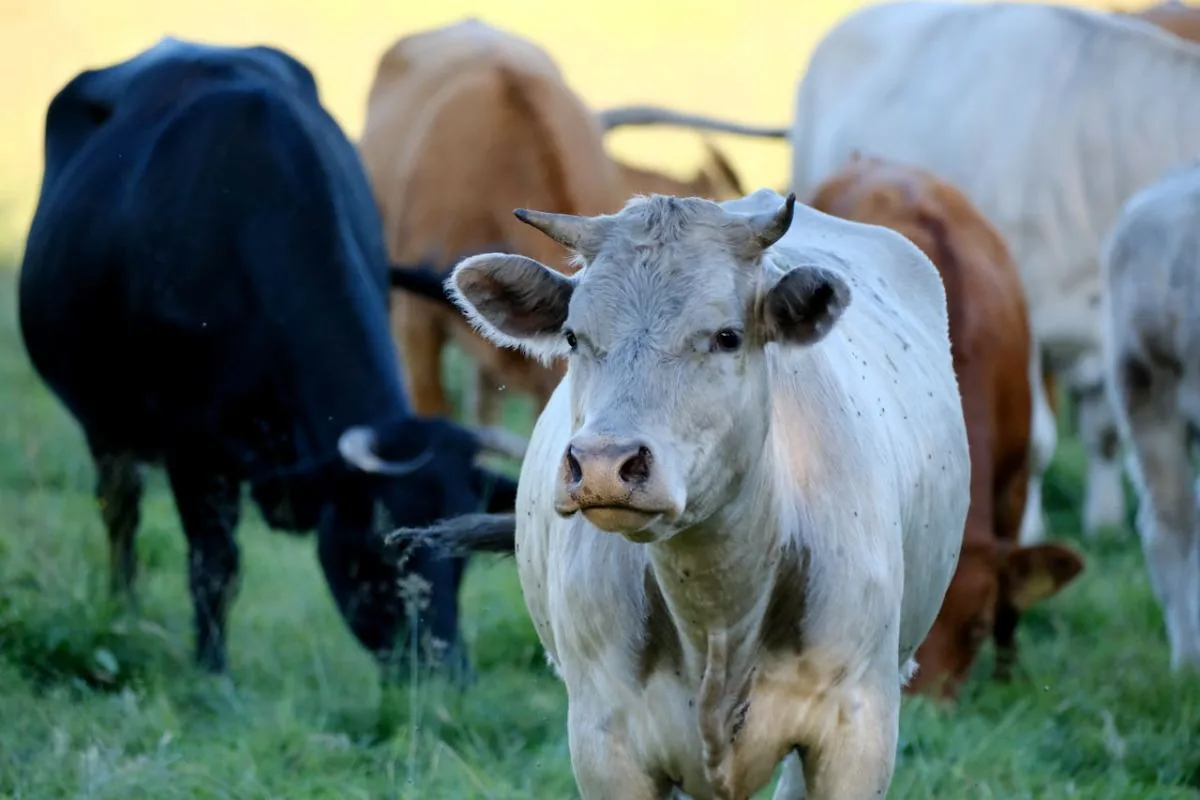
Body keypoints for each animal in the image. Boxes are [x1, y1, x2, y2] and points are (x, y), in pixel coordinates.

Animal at [17, 37, 524, 681]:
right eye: (375, 548)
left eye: (460, 555)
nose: (444, 673)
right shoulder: (194, 450)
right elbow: (215, 567)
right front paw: (212, 673)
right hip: (106, 425)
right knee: (120, 512)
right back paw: (123, 609)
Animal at [399, 187, 972, 799]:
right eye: (574, 337)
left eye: (726, 336)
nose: (603, 464)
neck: (718, 613)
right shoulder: (605, 741)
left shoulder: (856, 731)